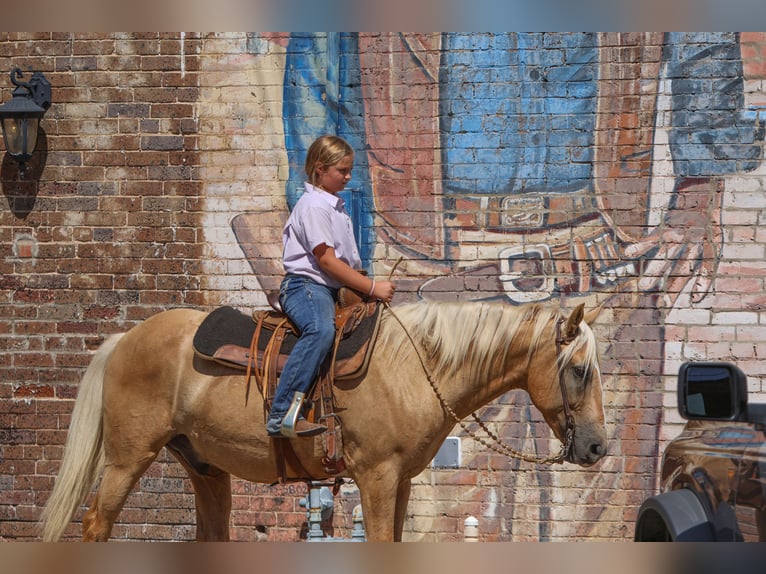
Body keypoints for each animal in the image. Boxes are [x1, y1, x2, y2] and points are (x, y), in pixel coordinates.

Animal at [42, 302, 608, 544]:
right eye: (579, 370)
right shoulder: (376, 476)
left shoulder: (399, 481)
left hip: (205, 469)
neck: (414, 366)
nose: (598, 448)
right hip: (127, 459)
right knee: (95, 524)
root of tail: (124, 340)